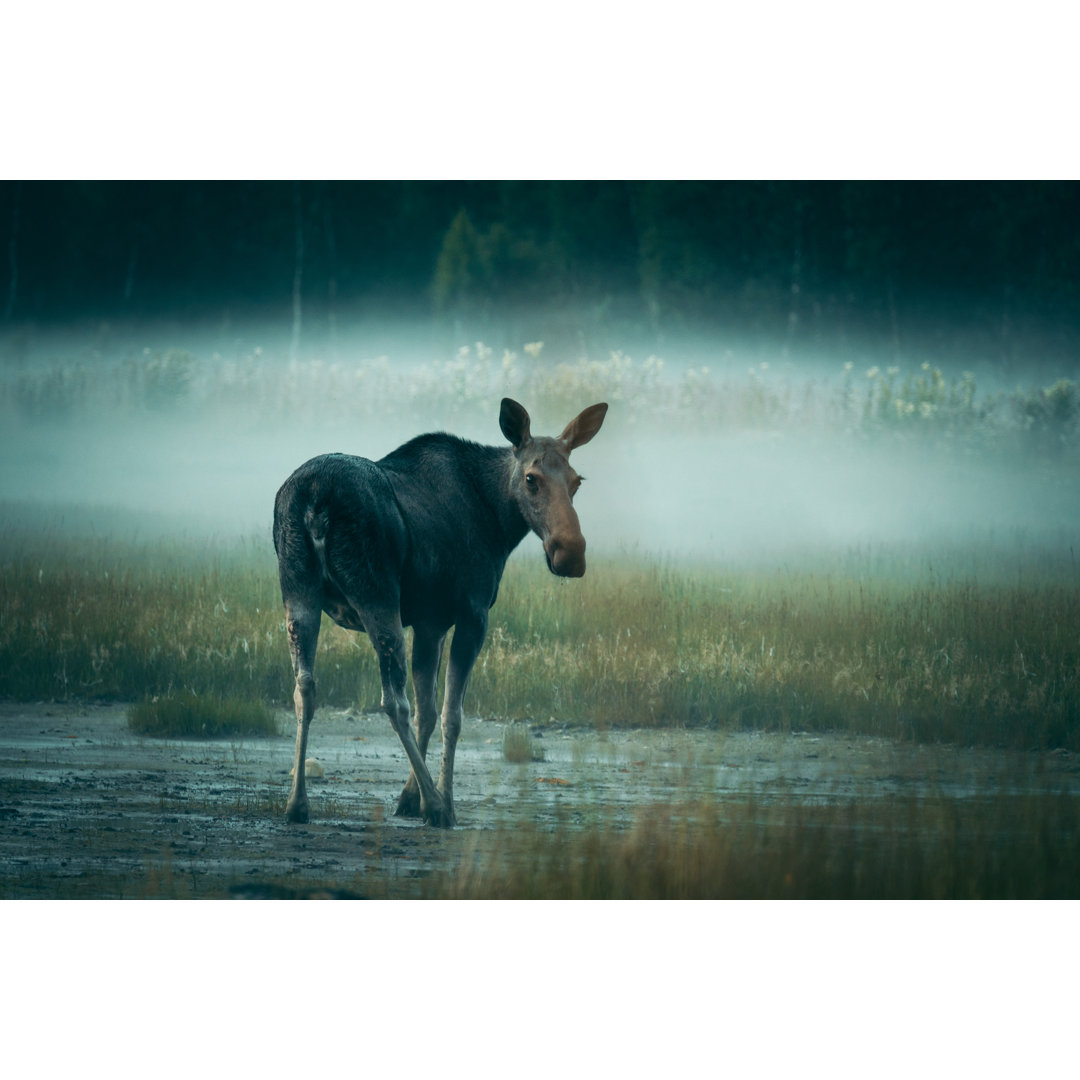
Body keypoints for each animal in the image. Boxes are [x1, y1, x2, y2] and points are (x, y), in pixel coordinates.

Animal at [270, 397, 609, 825]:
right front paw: (439, 799)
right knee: (392, 700)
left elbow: (428, 710)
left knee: (305, 687)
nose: (571, 553)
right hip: (377, 593)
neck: (500, 522)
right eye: (532, 478)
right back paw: (435, 804)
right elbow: (452, 714)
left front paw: (408, 797)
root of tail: (316, 500)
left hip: (298, 590)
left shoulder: (431, 623)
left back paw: (296, 803)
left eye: (577, 481)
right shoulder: (471, 614)